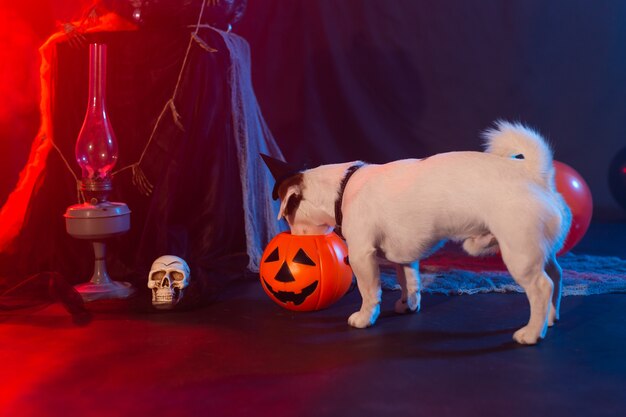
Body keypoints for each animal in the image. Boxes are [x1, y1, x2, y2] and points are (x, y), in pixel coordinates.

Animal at [266, 121, 568, 344]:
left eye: (288, 216)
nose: (290, 235)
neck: (342, 188)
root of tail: (535, 176)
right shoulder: (404, 256)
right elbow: (409, 282)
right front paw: (408, 304)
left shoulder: (362, 256)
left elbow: (369, 291)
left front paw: (364, 318)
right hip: (539, 252)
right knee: (555, 276)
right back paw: (550, 319)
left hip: (519, 254)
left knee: (541, 287)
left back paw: (532, 333)